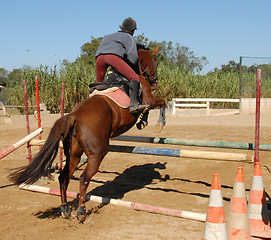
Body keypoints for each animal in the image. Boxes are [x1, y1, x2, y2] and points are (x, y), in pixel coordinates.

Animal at [9, 46, 167, 222]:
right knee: (84, 178)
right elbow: (161, 102)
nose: (156, 82)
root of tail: (75, 115)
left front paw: (144, 121)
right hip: (97, 153)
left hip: (74, 154)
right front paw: (158, 123)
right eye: (156, 63)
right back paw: (81, 211)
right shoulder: (149, 99)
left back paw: (65, 209)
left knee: (63, 177)